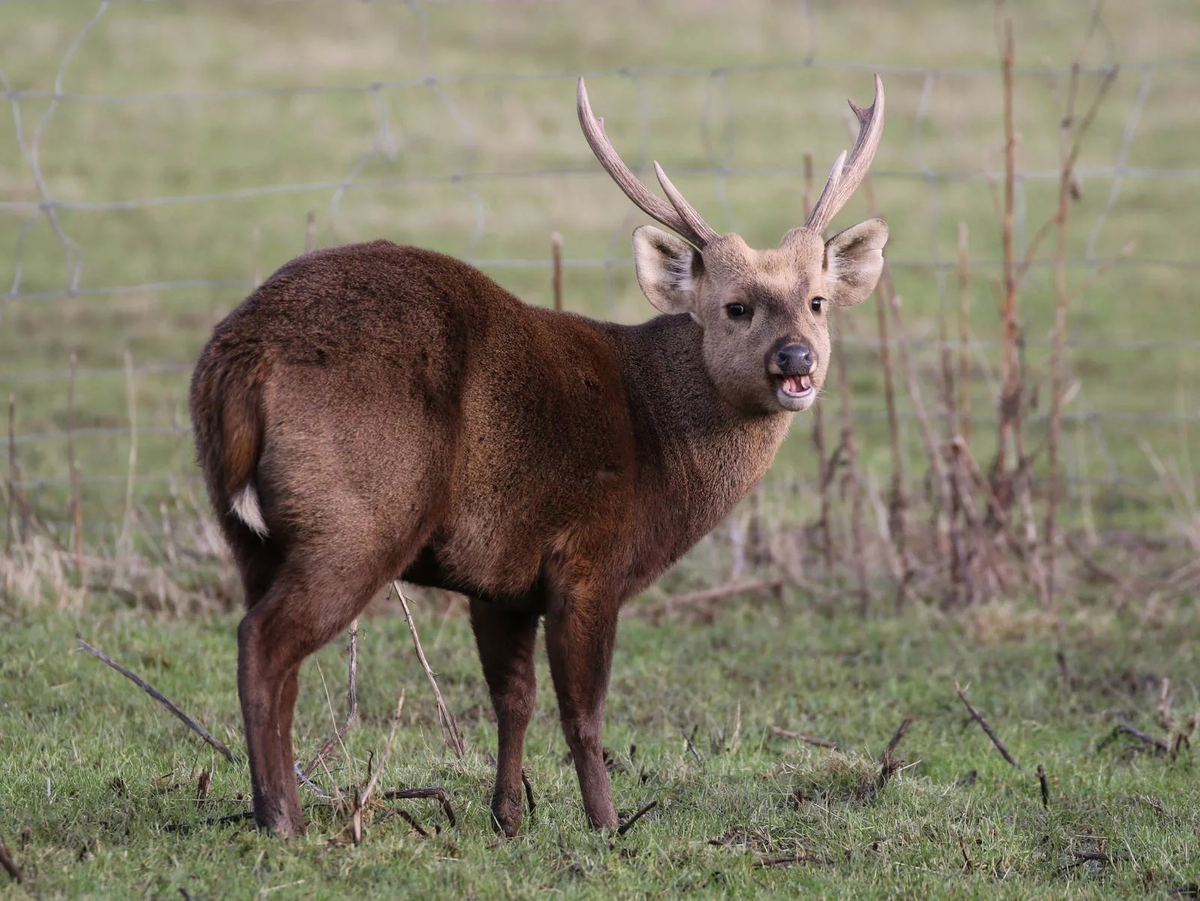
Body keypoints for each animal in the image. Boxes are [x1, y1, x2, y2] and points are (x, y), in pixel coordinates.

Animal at [187, 72, 883, 839]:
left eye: (817, 301)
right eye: (735, 307)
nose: (795, 359)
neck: (656, 436)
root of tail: (242, 360)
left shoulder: (501, 577)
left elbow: (512, 699)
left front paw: (508, 817)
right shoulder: (588, 559)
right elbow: (583, 711)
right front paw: (607, 823)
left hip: (244, 527)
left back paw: (272, 809)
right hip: (357, 515)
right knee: (264, 642)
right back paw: (284, 820)